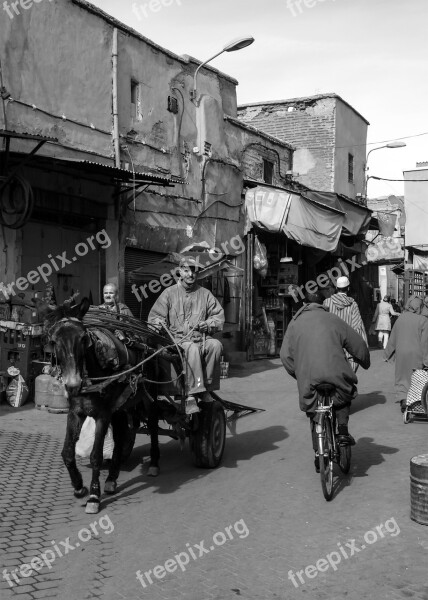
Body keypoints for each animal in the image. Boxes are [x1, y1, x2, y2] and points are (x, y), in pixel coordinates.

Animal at [42, 298, 170, 512]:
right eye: (54, 341)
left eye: (83, 338)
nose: (73, 384)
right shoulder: (76, 412)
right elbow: (67, 453)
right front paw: (79, 486)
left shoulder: (102, 414)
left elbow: (96, 455)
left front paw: (94, 496)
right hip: (121, 407)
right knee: (120, 435)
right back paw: (111, 478)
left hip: (148, 396)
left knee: (152, 426)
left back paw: (153, 463)